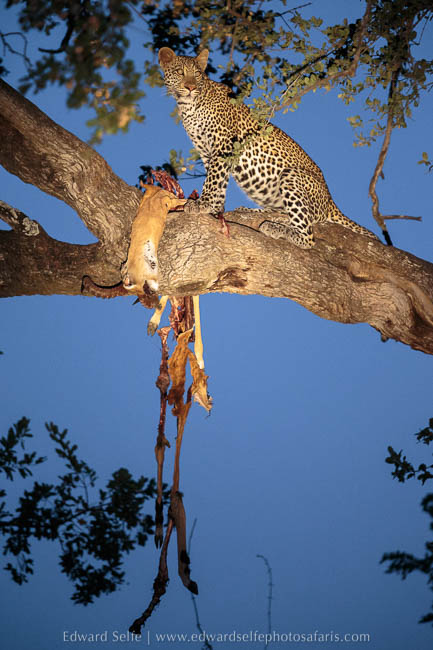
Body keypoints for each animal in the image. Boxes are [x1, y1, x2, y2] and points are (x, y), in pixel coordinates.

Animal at [158, 47, 380, 250]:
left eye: (196, 74)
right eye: (179, 72)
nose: (190, 87)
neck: (188, 106)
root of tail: (331, 202)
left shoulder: (222, 145)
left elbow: (214, 179)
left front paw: (203, 204)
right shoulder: (206, 151)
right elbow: (218, 182)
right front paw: (214, 209)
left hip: (291, 176)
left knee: (308, 237)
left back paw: (273, 228)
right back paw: (251, 212)